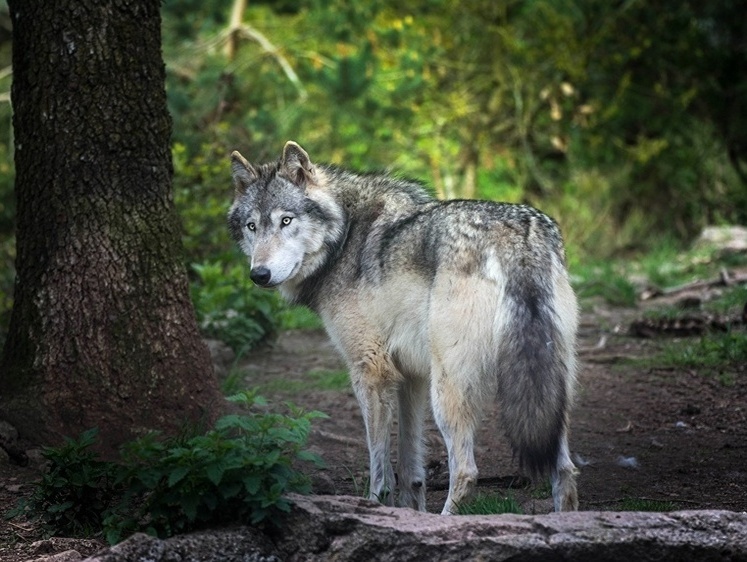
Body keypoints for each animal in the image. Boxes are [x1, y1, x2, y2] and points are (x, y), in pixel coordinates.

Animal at [226, 141, 580, 512]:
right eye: (252, 226)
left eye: (286, 221)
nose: (259, 274)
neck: (344, 237)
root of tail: (518, 234)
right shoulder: (411, 376)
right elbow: (411, 467)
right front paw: (412, 510)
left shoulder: (371, 372)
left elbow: (380, 468)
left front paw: (375, 506)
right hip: (549, 390)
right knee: (564, 469)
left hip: (449, 390)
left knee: (466, 471)